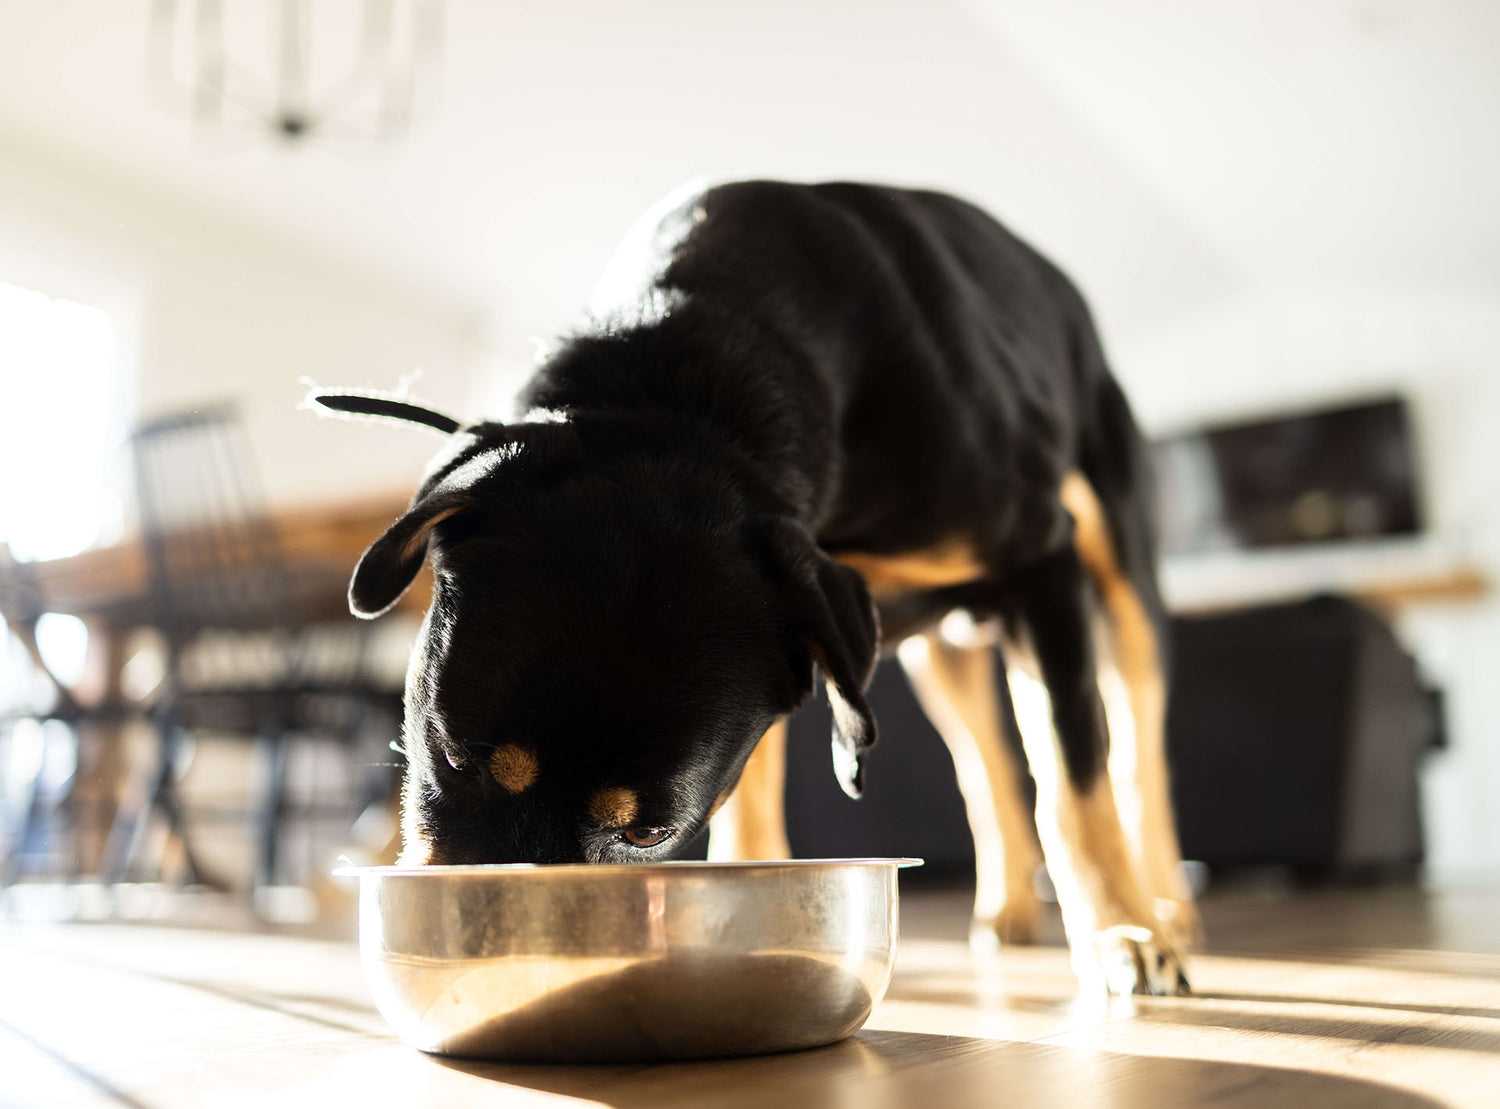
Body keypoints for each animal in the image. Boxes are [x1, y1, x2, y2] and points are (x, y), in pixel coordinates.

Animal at [313, 180, 1194, 996]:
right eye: (455, 758)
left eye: (647, 836)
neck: (695, 382)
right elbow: (758, 799)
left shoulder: (1043, 563)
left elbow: (1076, 782)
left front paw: (1118, 933)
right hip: (939, 656)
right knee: (985, 764)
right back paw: (1008, 909)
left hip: (1119, 573)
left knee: (1136, 748)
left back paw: (1167, 912)